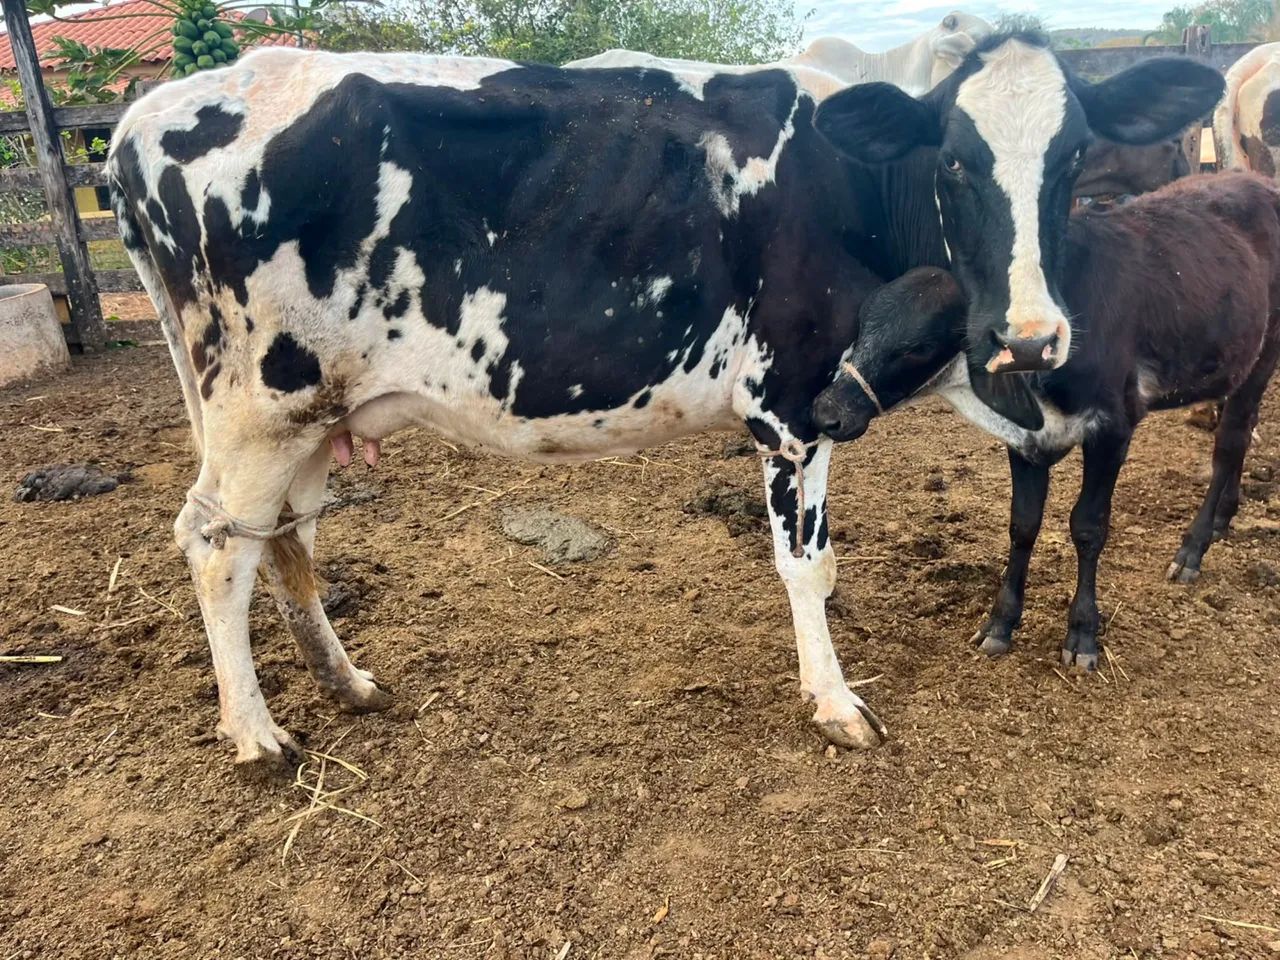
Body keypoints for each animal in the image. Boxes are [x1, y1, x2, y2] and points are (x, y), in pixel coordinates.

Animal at [106, 35, 1220, 771]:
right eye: (955, 159)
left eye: (1071, 159)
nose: (1029, 335)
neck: (854, 183)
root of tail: (142, 118)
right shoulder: (788, 402)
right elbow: (808, 567)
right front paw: (833, 701)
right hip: (257, 405)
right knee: (214, 544)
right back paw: (256, 734)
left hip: (307, 413)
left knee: (285, 538)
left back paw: (348, 684)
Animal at [812, 173, 1280, 671]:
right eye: (862, 323)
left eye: (917, 347)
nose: (827, 412)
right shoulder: (1026, 441)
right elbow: (1023, 525)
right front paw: (1000, 623)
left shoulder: (1113, 426)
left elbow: (1089, 527)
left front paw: (1082, 633)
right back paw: (1223, 519)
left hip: (1261, 357)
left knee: (1230, 442)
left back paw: (1193, 547)